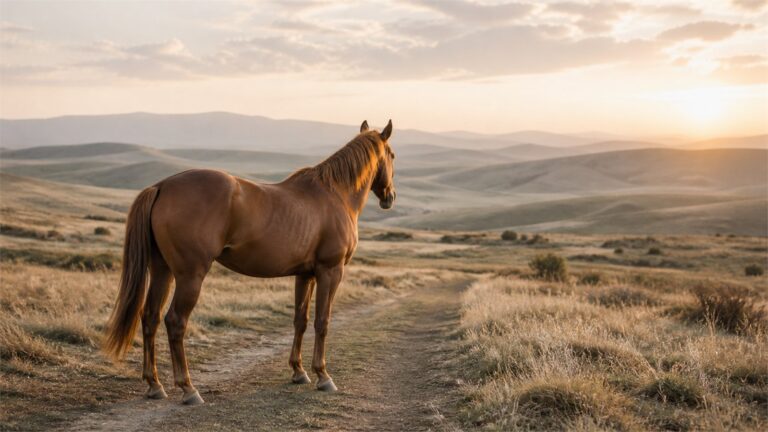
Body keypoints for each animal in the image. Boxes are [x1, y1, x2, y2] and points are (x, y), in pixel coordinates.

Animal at [104, 120, 396, 405]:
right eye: (392, 155)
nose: (390, 197)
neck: (334, 194)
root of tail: (162, 186)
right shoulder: (330, 272)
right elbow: (322, 322)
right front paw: (323, 376)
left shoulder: (305, 275)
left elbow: (300, 320)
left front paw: (298, 371)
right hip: (190, 276)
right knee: (175, 321)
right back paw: (188, 389)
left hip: (162, 271)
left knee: (150, 318)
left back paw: (154, 385)